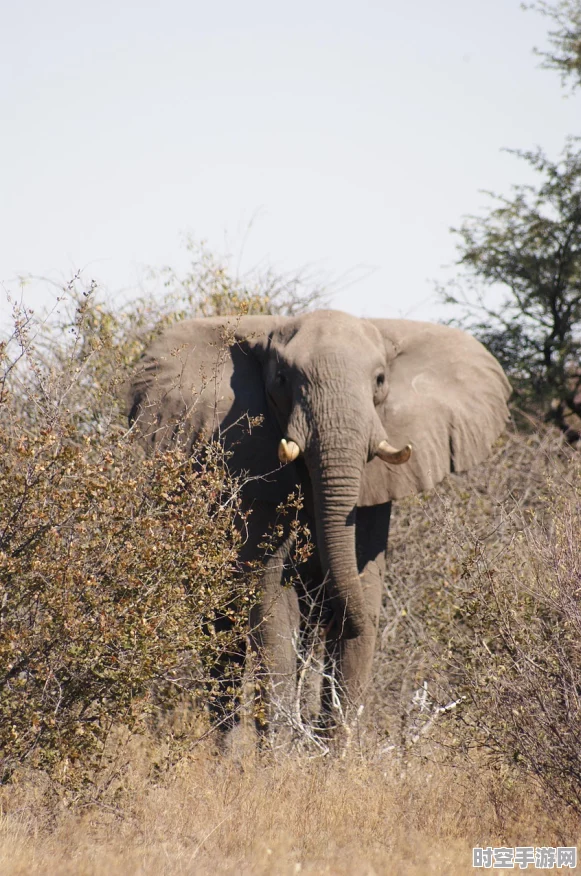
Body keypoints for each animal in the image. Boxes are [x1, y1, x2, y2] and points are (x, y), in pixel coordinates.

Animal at [127, 312, 508, 744]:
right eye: (281, 379)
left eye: (380, 380)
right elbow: (272, 601)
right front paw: (278, 753)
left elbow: (364, 593)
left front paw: (336, 754)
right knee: (223, 637)